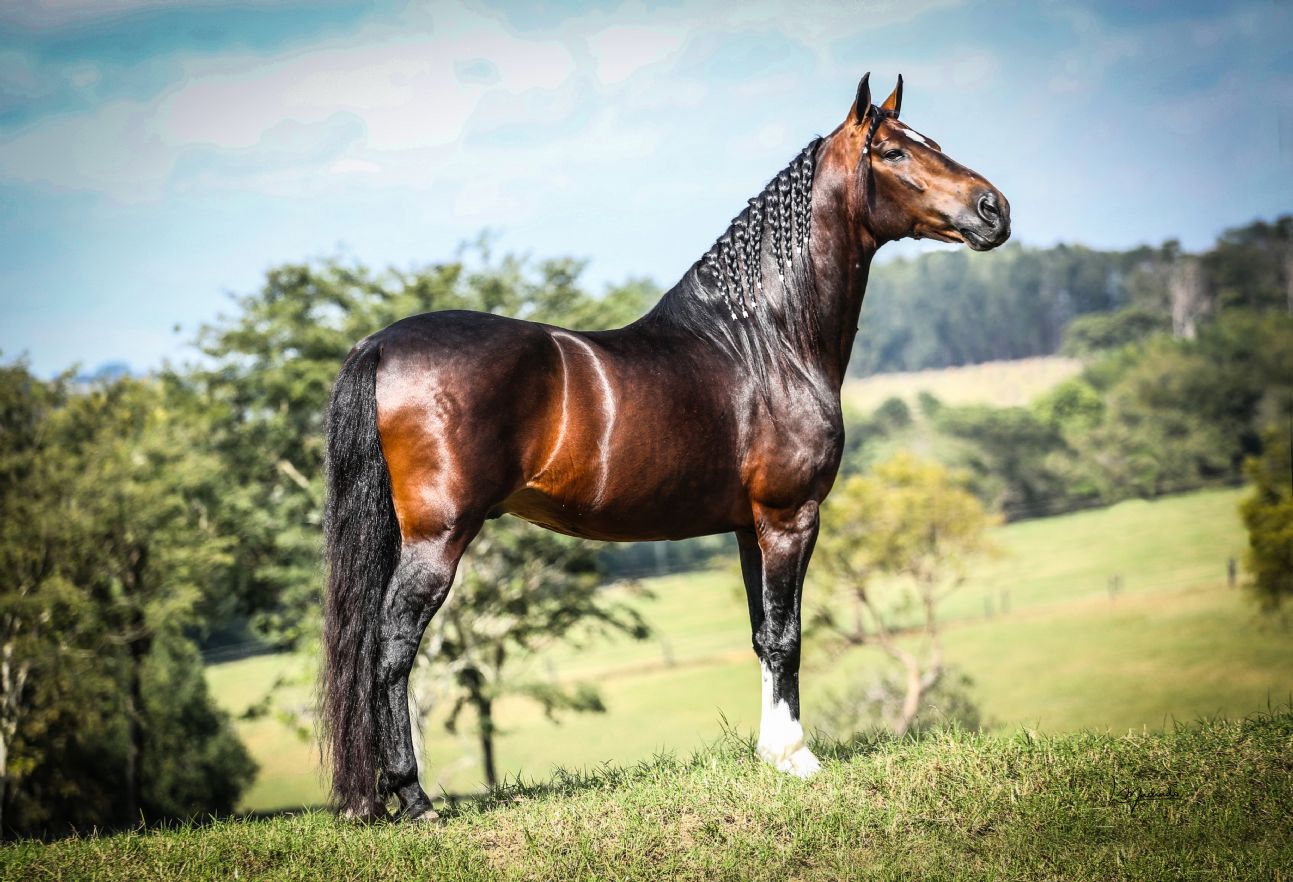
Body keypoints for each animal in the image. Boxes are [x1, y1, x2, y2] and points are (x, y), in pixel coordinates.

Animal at [321, 72, 1011, 821]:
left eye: (928, 141)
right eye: (892, 151)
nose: (994, 208)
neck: (765, 340)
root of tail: (382, 343)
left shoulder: (748, 527)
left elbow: (762, 634)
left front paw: (770, 754)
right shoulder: (790, 518)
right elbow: (788, 635)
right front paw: (796, 757)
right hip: (438, 537)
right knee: (392, 649)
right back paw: (414, 799)